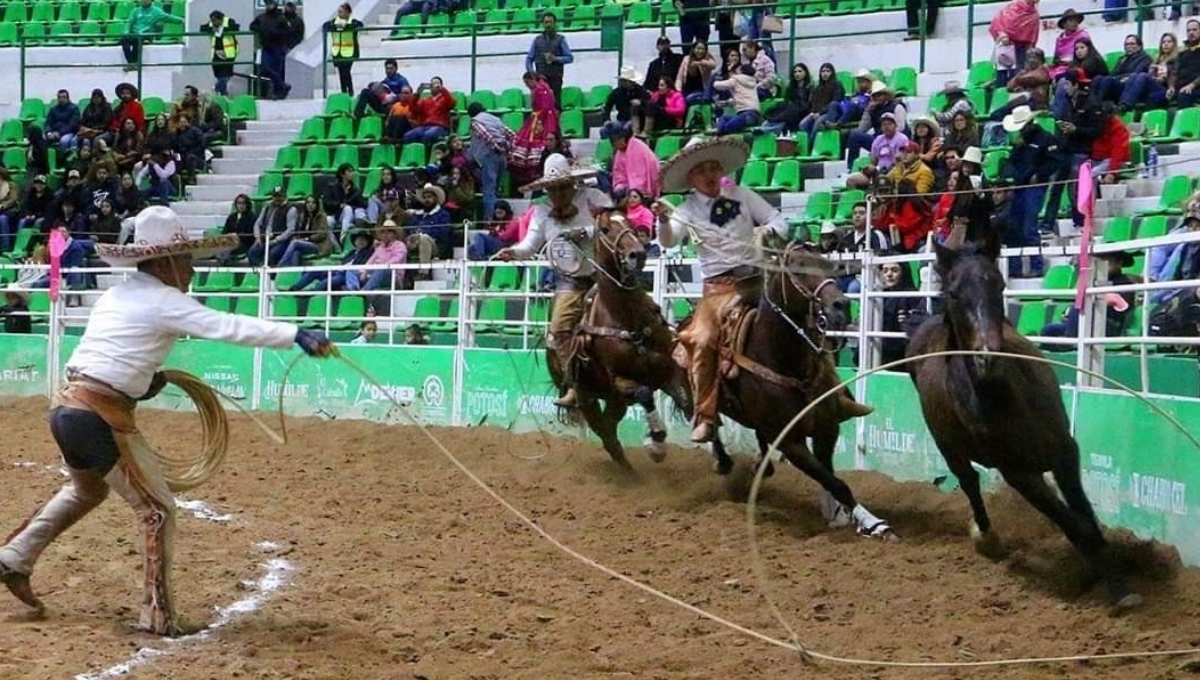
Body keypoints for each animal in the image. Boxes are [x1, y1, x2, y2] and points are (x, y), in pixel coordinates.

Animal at [547, 213, 691, 467]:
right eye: (605, 229)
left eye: (630, 225)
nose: (638, 254)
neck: (627, 317)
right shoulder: (620, 381)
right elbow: (644, 393)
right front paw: (656, 442)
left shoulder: (668, 369)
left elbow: (685, 401)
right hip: (587, 398)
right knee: (605, 434)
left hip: (614, 401)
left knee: (609, 428)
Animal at [700, 244, 892, 537]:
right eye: (799, 270)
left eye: (829, 266)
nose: (841, 306)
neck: (784, 361)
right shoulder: (791, 442)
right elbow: (835, 482)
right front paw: (874, 523)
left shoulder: (826, 430)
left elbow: (830, 475)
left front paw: (838, 513)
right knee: (705, 418)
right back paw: (721, 459)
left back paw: (761, 465)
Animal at [907, 233, 1142, 611]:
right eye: (953, 292)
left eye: (998, 284)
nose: (987, 356)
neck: (1006, 398)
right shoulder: (1019, 475)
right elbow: (1074, 524)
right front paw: (1117, 587)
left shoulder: (1065, 454)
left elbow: (1085, 516)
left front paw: (1114, 577)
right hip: (949, 447)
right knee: (969, 481)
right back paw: (987, 538)